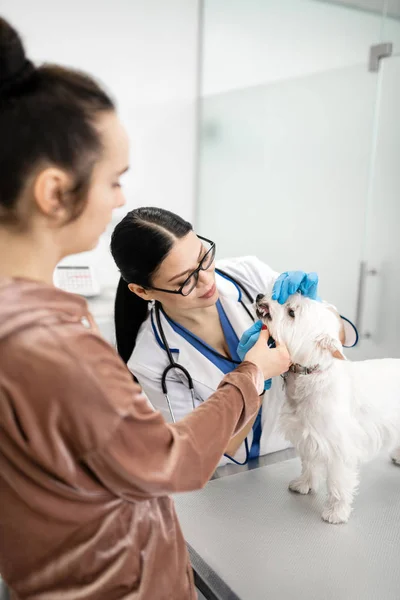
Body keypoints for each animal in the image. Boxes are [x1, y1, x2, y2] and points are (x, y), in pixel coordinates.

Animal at [256, 292, 400, 524]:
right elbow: (309, 464)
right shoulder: (307, 436)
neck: (310, 375)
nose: (260, 295)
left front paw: (336, 512)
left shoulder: (340, 447)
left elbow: (338, 483)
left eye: (291, 312)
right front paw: (304, 484)